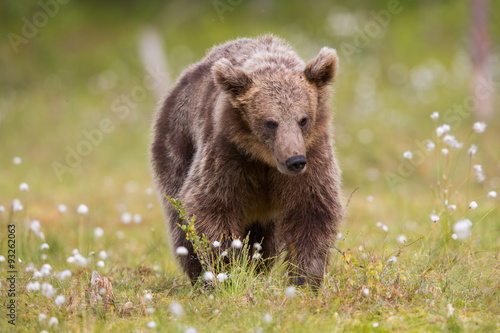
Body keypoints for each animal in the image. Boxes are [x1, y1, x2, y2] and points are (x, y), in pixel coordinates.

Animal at [149, 35, 344, 286]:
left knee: (265, 239)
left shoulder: (314, 153)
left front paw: (305, 279)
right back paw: (198, 277)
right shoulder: (228, 154)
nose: (295, 161)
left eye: (303, 119)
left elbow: (312, 210)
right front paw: (225, 269)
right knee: (180, 225)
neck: (264, 159)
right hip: (177, 145)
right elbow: (209, 205)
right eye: (270, 122)